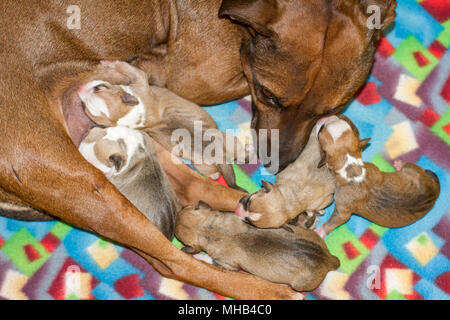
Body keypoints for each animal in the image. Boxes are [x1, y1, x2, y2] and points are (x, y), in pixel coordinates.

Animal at [75, 61, 248, 189]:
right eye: (85, 107)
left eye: (99, 88)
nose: (79, 89)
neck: (132, 113)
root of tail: (220, 155)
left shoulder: (140, 80)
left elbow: (129, 68)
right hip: (206, 160)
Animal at [312, 115, 440, 238]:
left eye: (321, 130)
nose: (327, 116)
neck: (350, 166)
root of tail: (434, 191)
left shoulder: (343, 210)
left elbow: (335, 220)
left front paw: (320, 231)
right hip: (413, 170)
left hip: (411, 167)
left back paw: (399, 164)